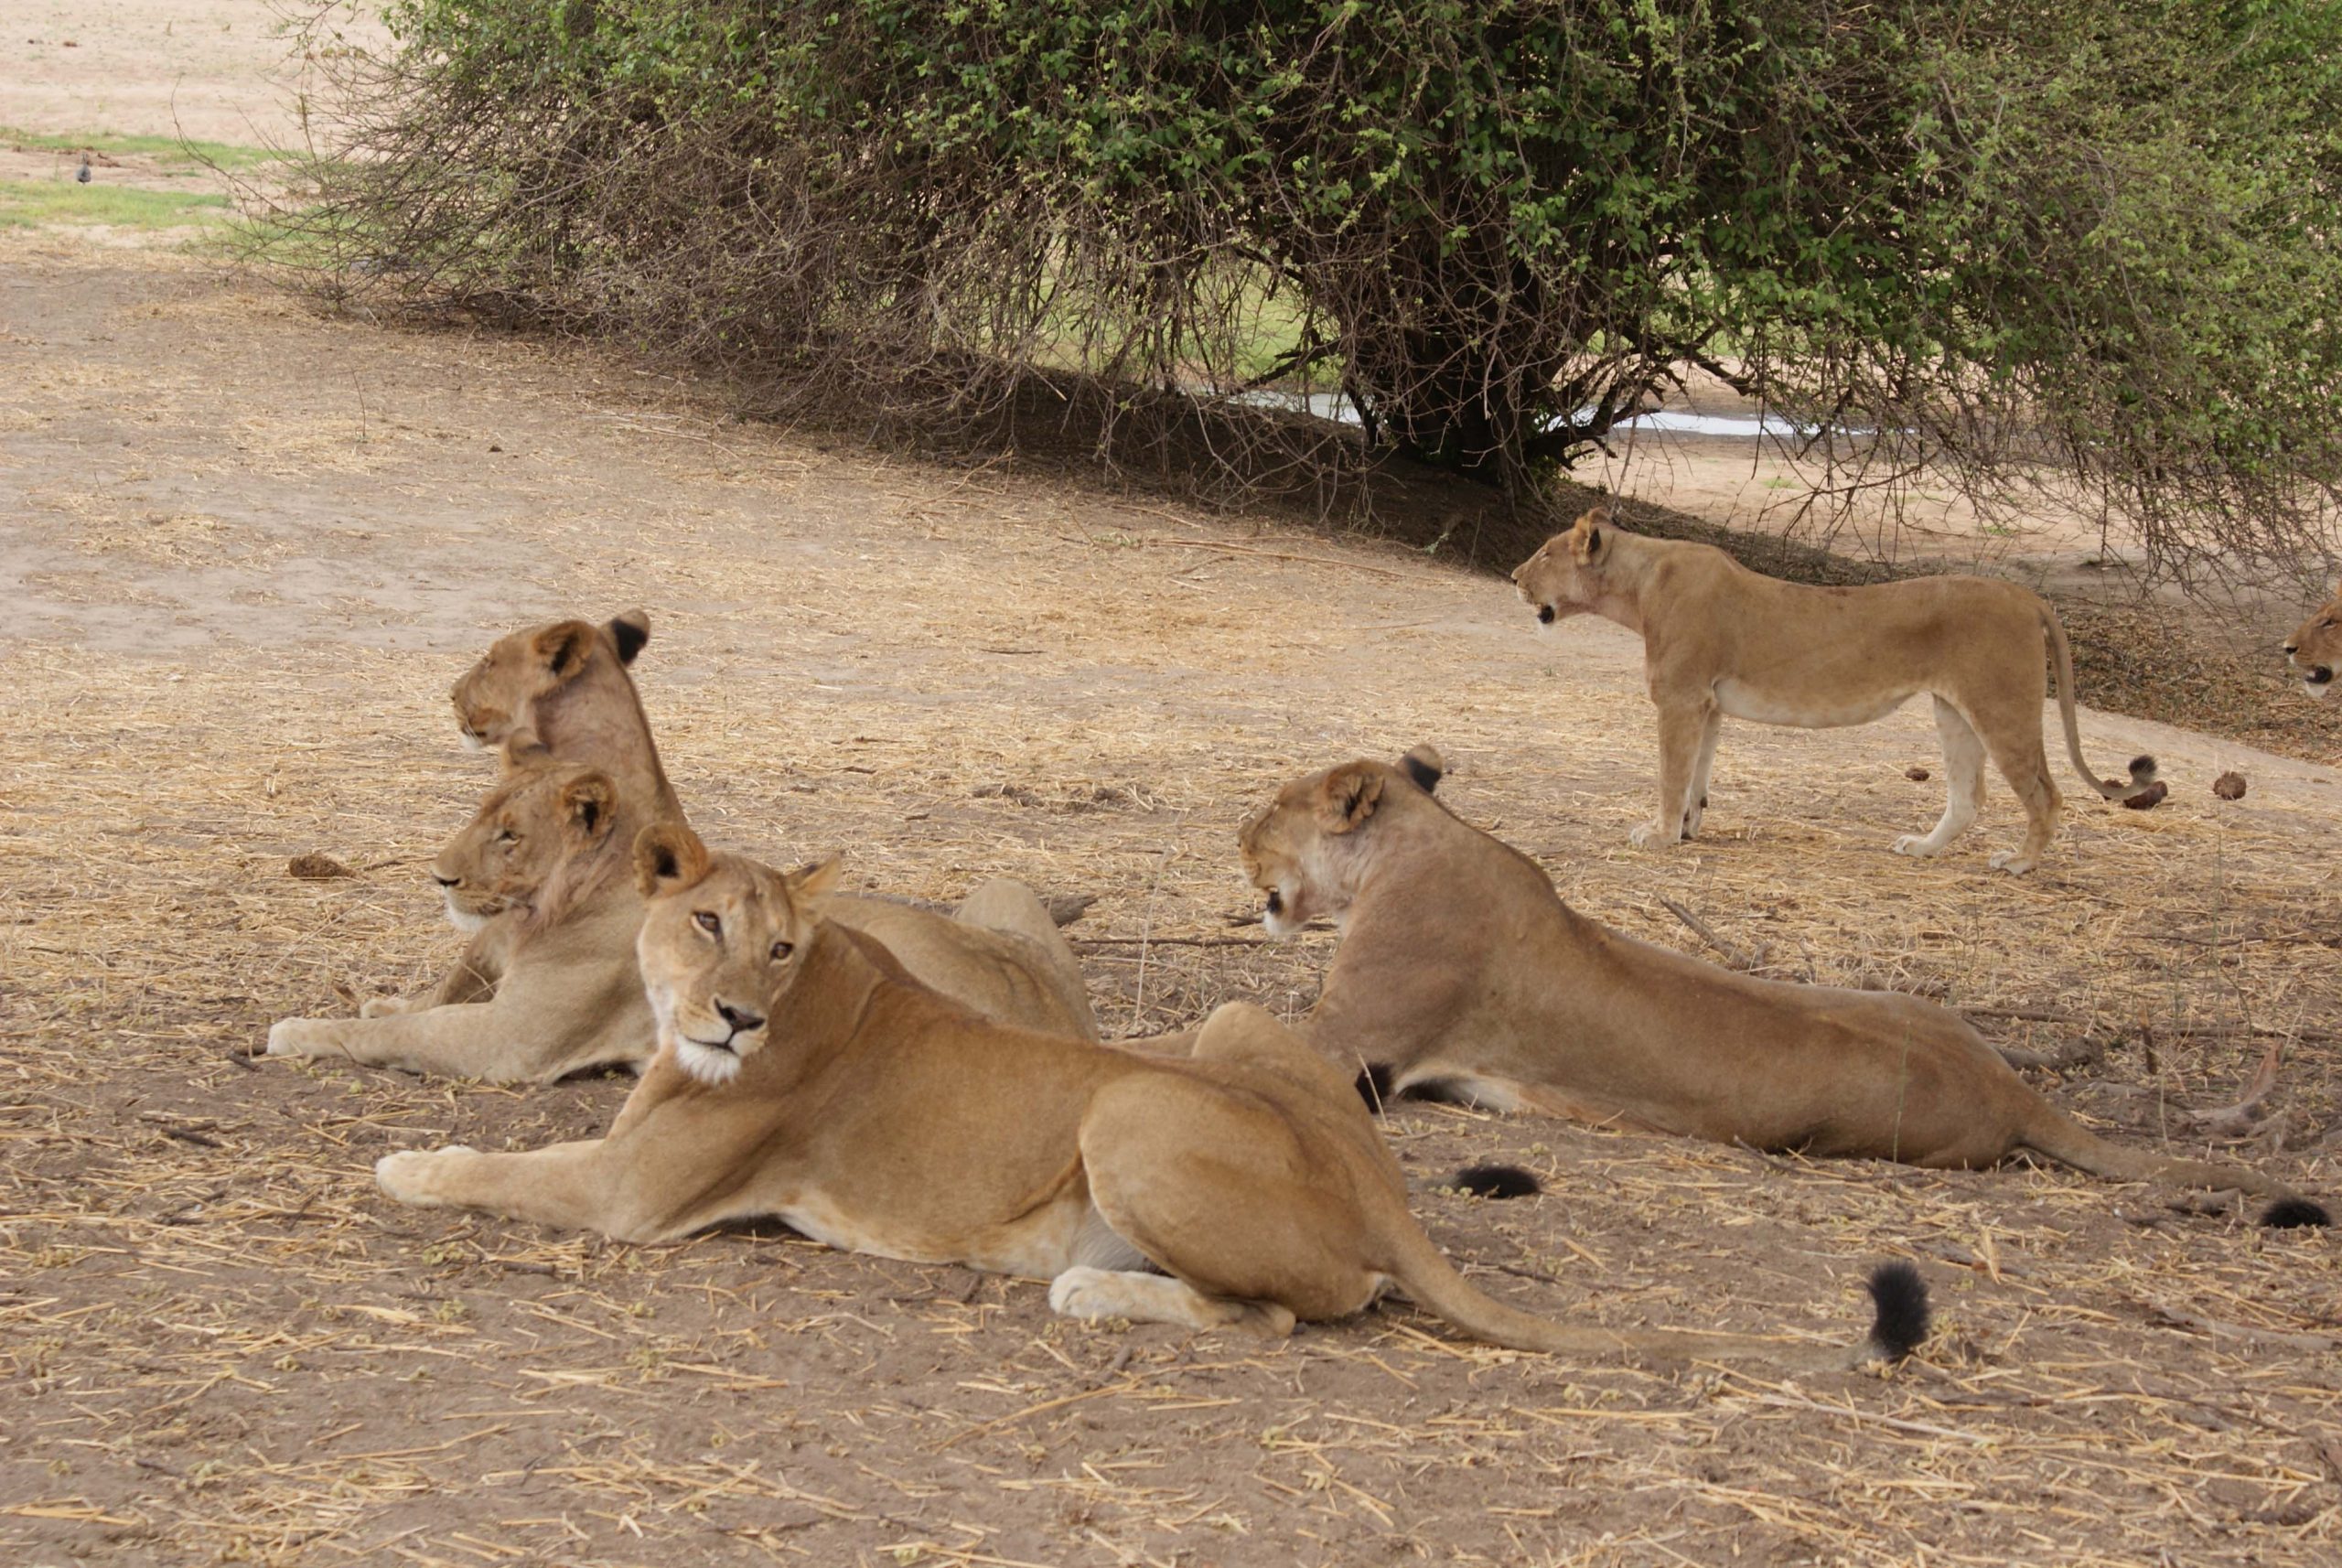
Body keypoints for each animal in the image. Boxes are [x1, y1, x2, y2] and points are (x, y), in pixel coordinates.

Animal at [267, 756, 1098, 1082]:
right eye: (482, 818)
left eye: (509, 835)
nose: (439, 875)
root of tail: (1062, 1014)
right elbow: (414, 1007)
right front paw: (376, 1000)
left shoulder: (516, 1041)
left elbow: (406, 1032)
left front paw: (301, 1030)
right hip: (1001, 887)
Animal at [373, 823, 1931, 1371]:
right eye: (706, 924)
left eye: (781, 947)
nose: (740, 1012)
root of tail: (1379, 1185)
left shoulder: (632, 1196)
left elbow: (484, 1167)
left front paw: (397, 1167)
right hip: (1235, 1019)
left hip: (1125, 1113)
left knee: (1296, 1309)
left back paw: (1092, 1290)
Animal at [1510, 507, 2158, 873]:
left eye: (1543, 553)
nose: (1514, 576)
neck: (1639, 584)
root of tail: (2026, 595)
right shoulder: (1707, 705)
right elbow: (1696, 777)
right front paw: (1689, 831)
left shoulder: (1680, 698)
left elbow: (1672, 776)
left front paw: (1660, 837)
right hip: (1953, 710)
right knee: (1967, 797)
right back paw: (1922, 850)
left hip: (2002, 707)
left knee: (2045, 795)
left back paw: (2019, 864)